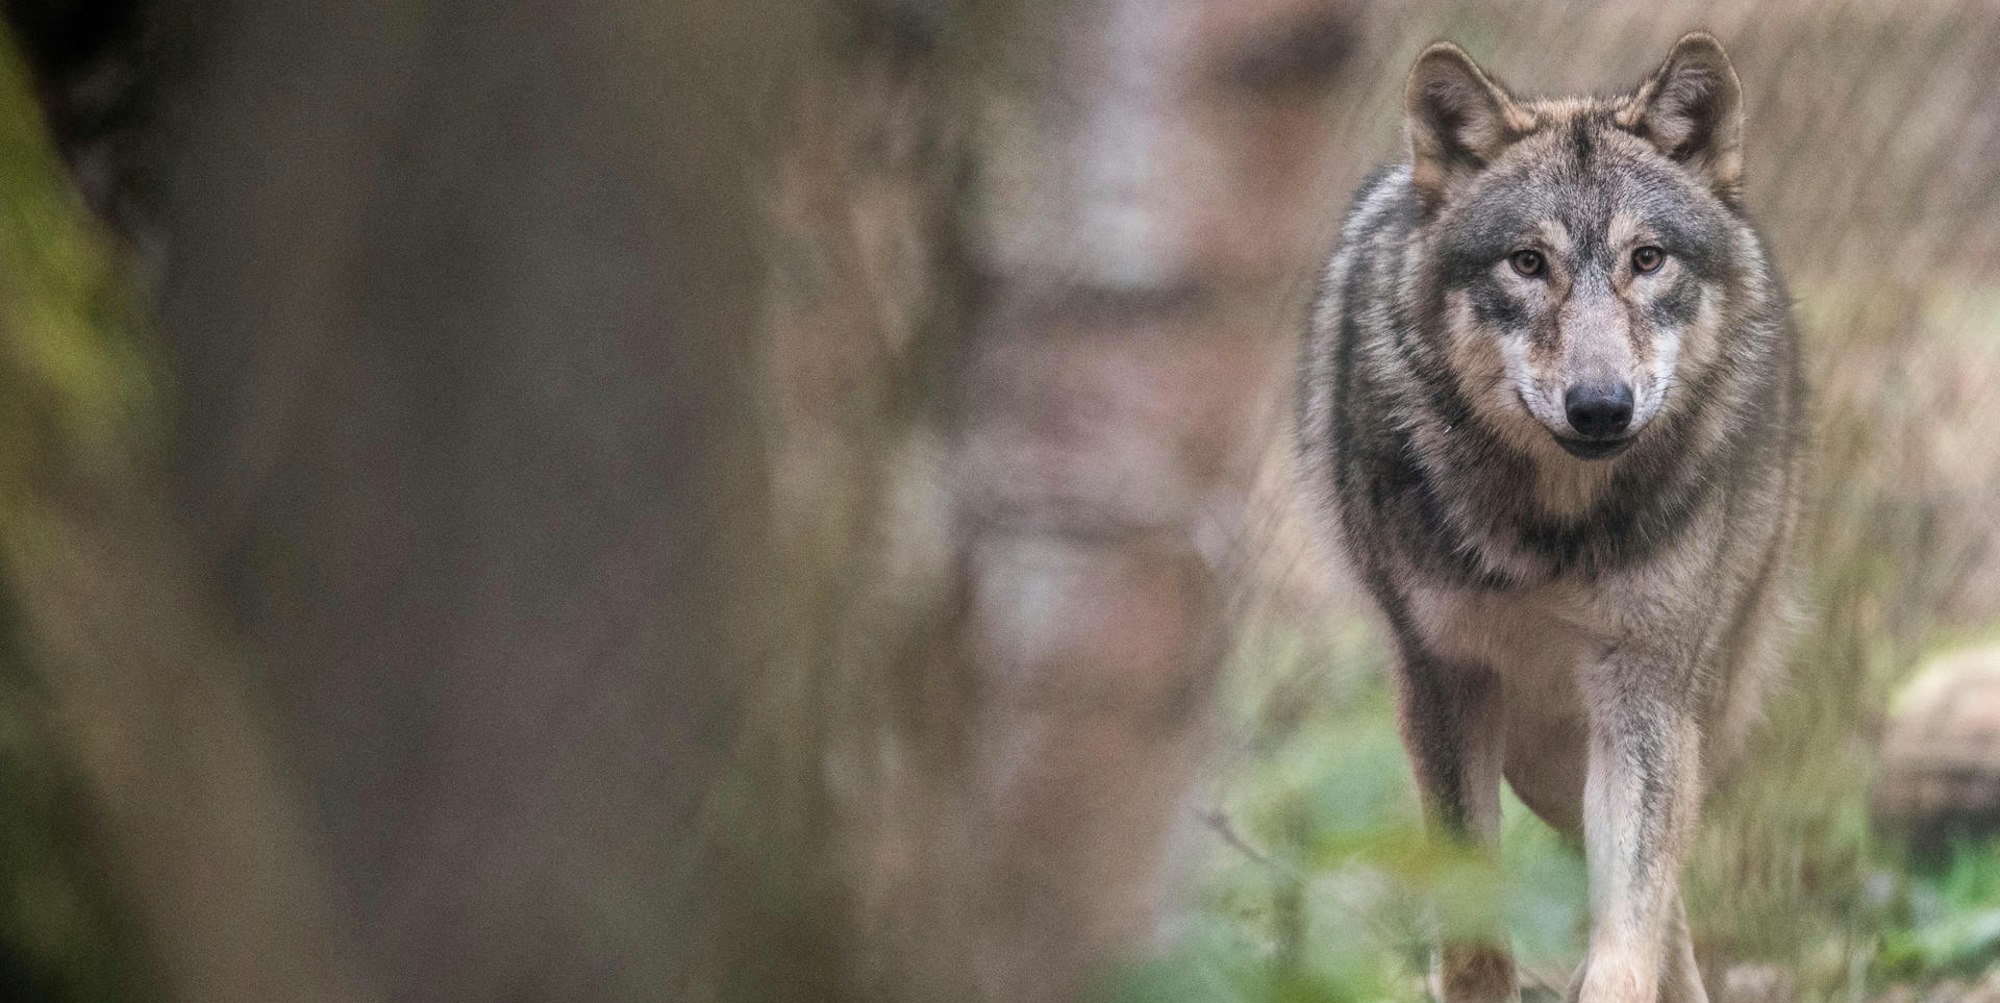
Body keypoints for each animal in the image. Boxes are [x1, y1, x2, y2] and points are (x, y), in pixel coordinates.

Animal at [1296, 33, 1804, 1003]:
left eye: (1648, 259)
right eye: (1527, 263)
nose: (1600, 407)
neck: (1551, 532)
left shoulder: (1645, 694)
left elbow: (1628, 934)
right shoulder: (1442, 681)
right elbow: (1471, 936)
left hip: (1661, 716)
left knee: (1664, 898)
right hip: (1538, 753)